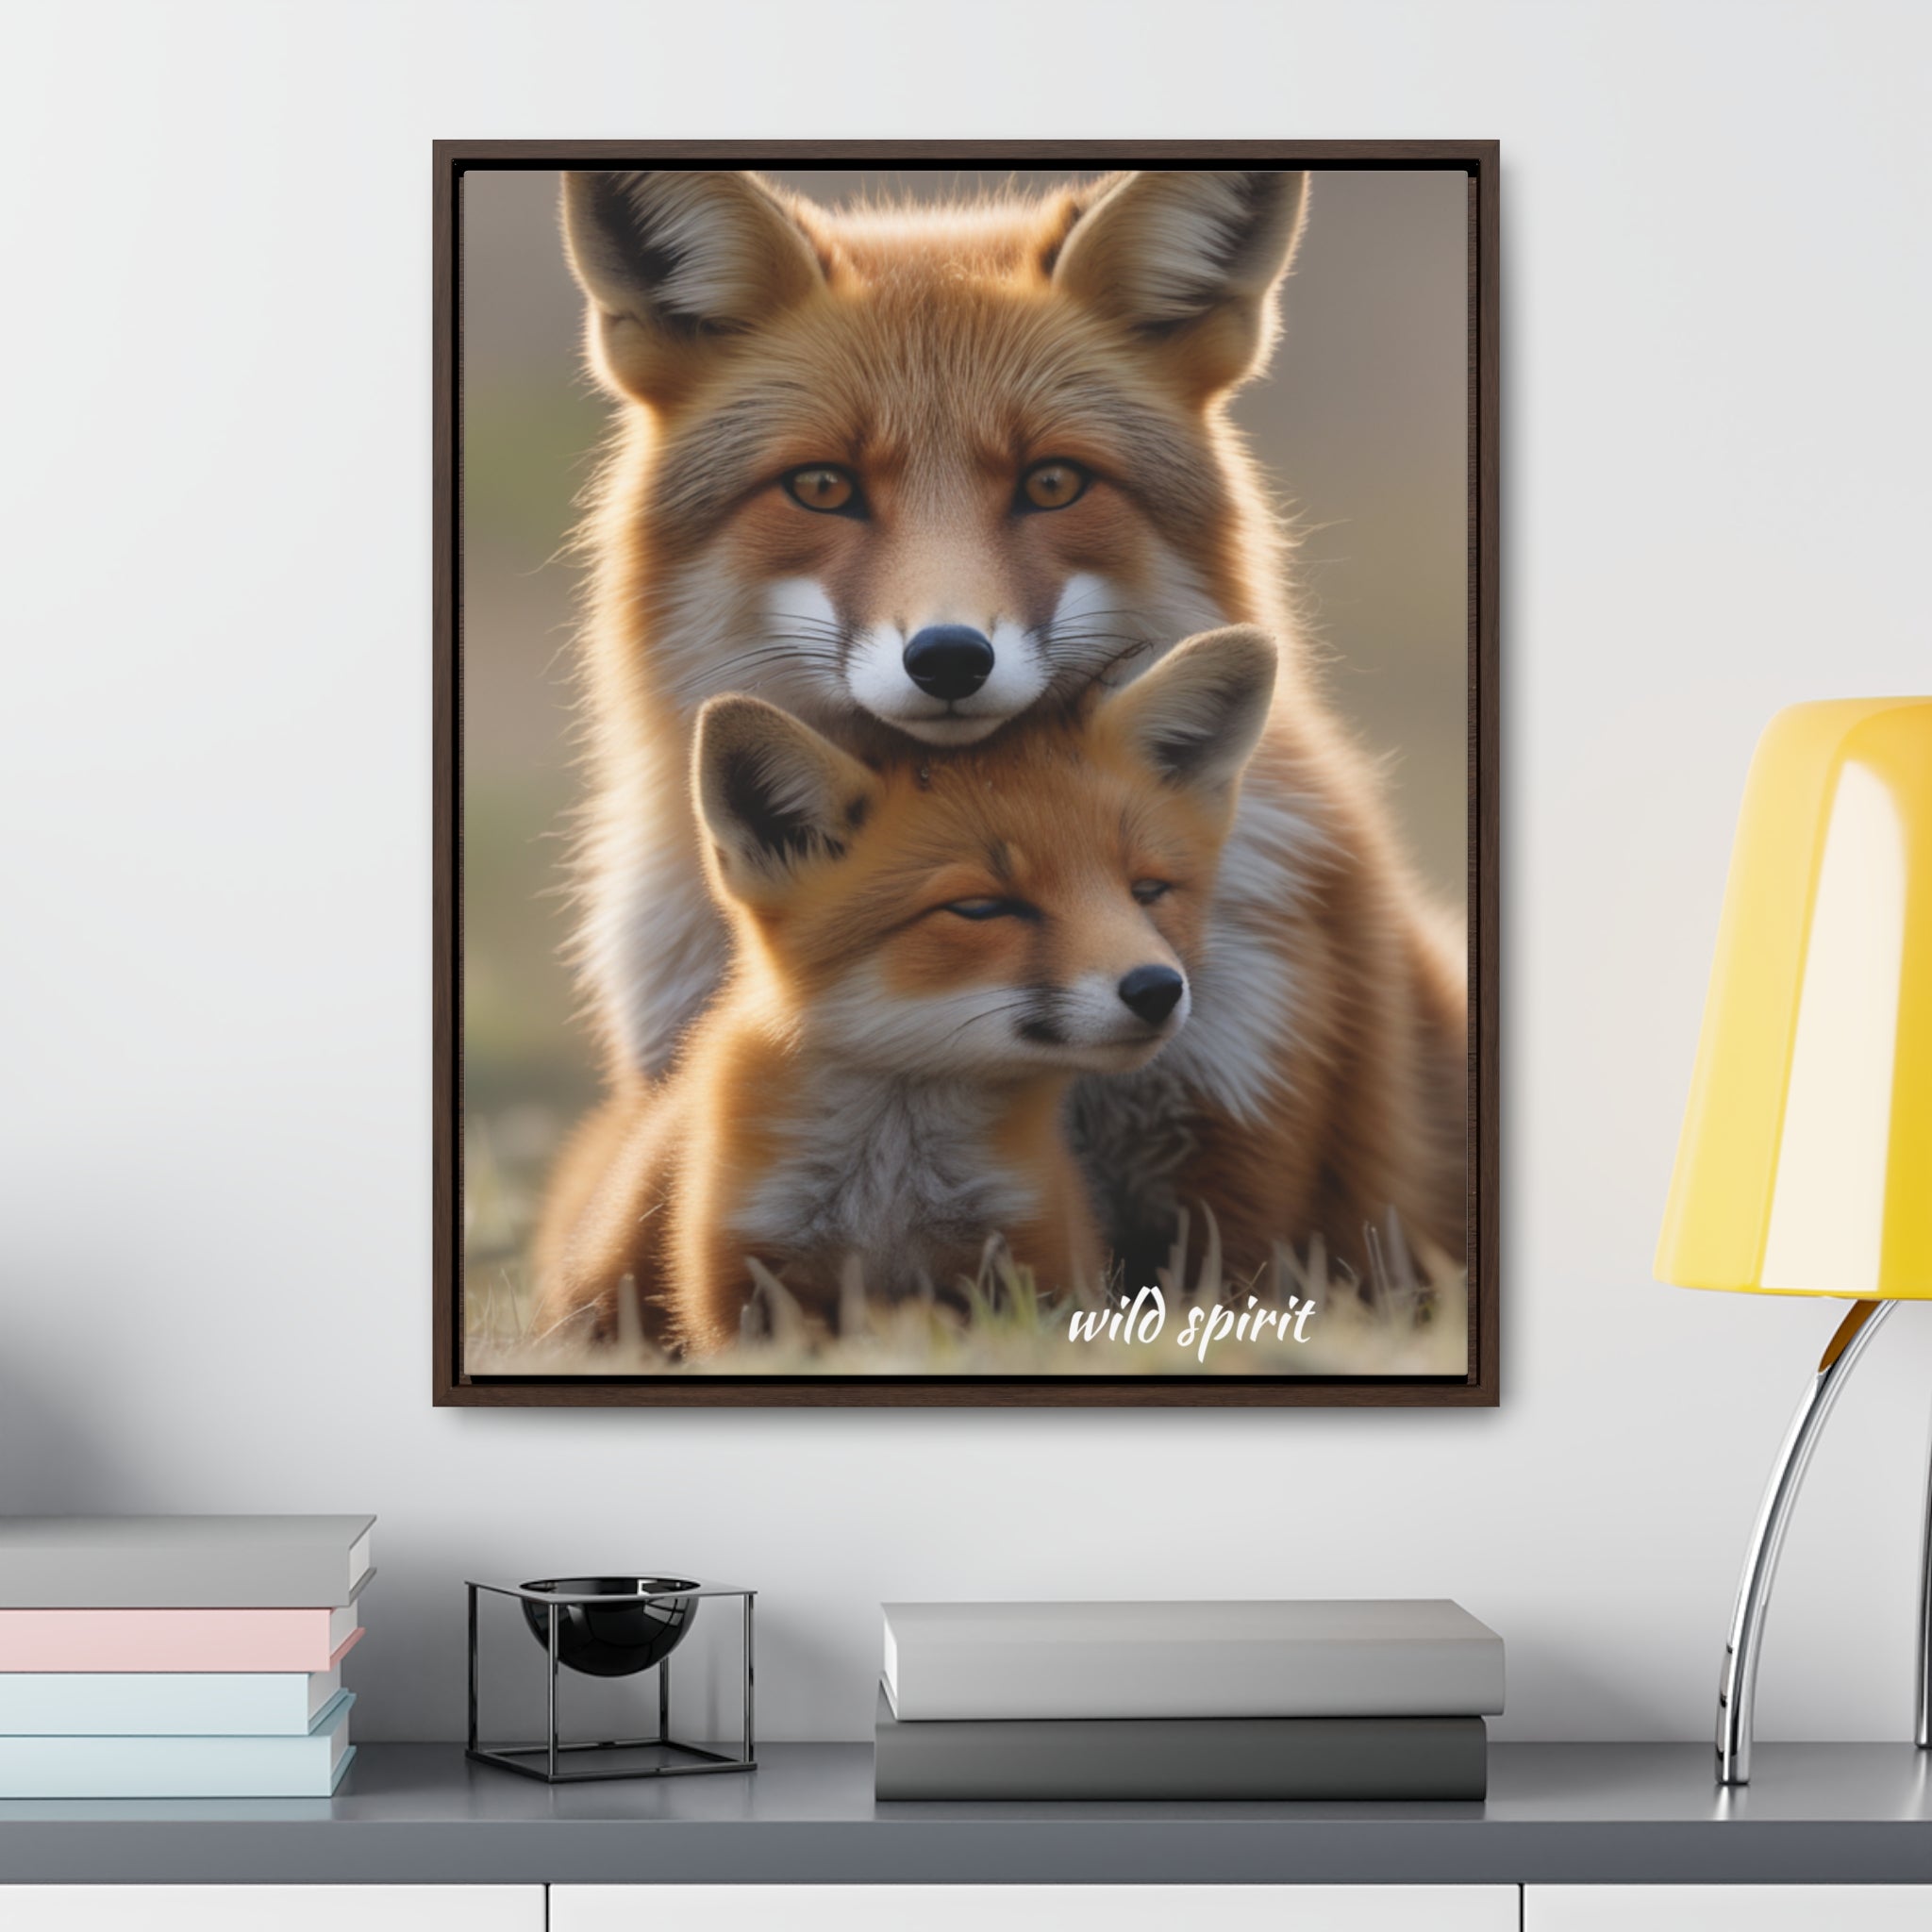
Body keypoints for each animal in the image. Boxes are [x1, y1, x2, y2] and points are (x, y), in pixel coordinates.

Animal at [533, 626, 1277, 1355]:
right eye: (981, 908)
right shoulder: (742, 1280)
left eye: (1148, 891)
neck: (889, 1191)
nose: (1157, 989)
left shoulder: (1034, 1259)